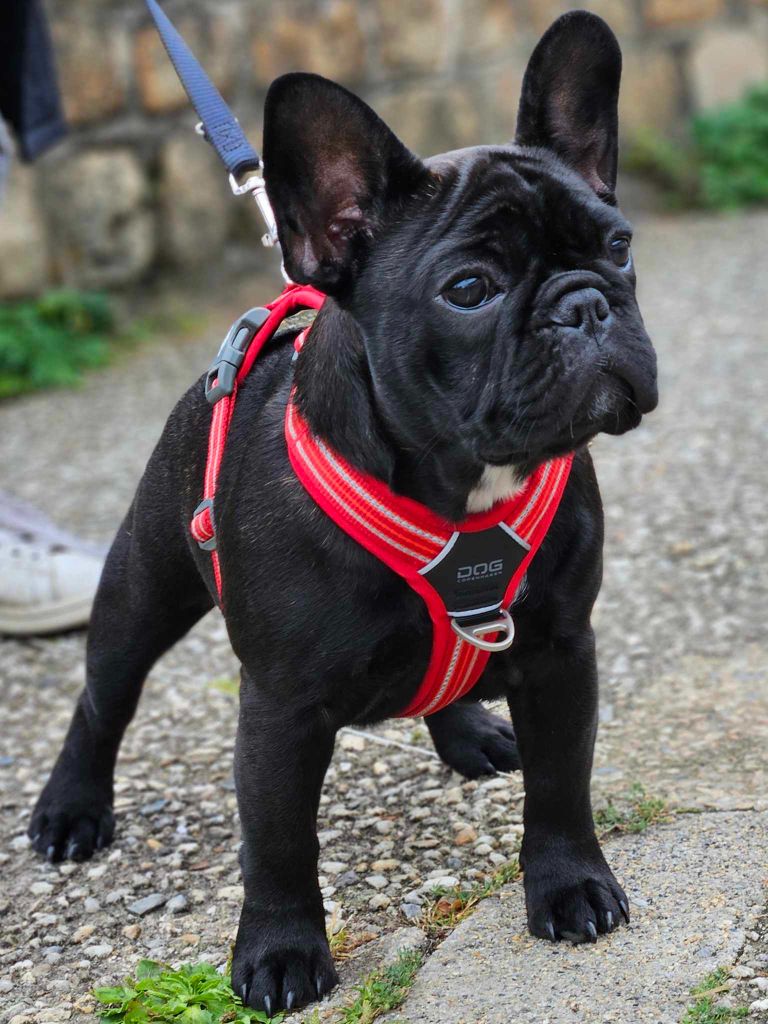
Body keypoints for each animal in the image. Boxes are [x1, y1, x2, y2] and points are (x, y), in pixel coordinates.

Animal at [28, 12, 655, 1011]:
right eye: (469, 290)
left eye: (619, 245)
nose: (587, 304)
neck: (460, 483)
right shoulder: (280, 708)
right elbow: (280, 842)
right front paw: (281, 952)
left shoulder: (562, 651)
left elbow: (562, 784)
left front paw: (571, 886)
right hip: (141, 592)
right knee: (102, 699)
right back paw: (71, 807)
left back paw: (470, 730)